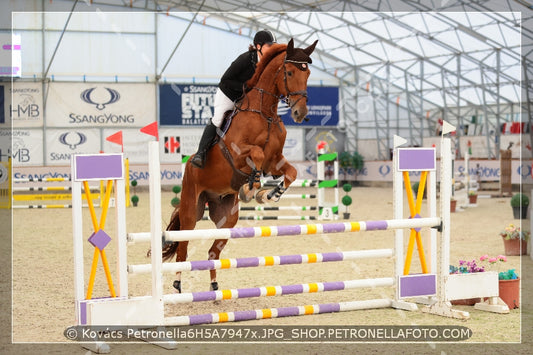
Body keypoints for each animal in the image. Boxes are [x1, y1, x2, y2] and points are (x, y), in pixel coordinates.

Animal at [163, 39, 316, 294]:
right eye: (289, 72)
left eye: (308, 74)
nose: (300, 113)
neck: (265, 113)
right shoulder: (237, 154)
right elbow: (256, 153)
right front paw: (251, 186)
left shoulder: (275, 160)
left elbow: (291, 173)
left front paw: (269, 194)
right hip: (190, 210)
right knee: (183, 249)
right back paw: (177, 284)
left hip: (226, 218)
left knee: (213, 252)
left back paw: (215, 286)